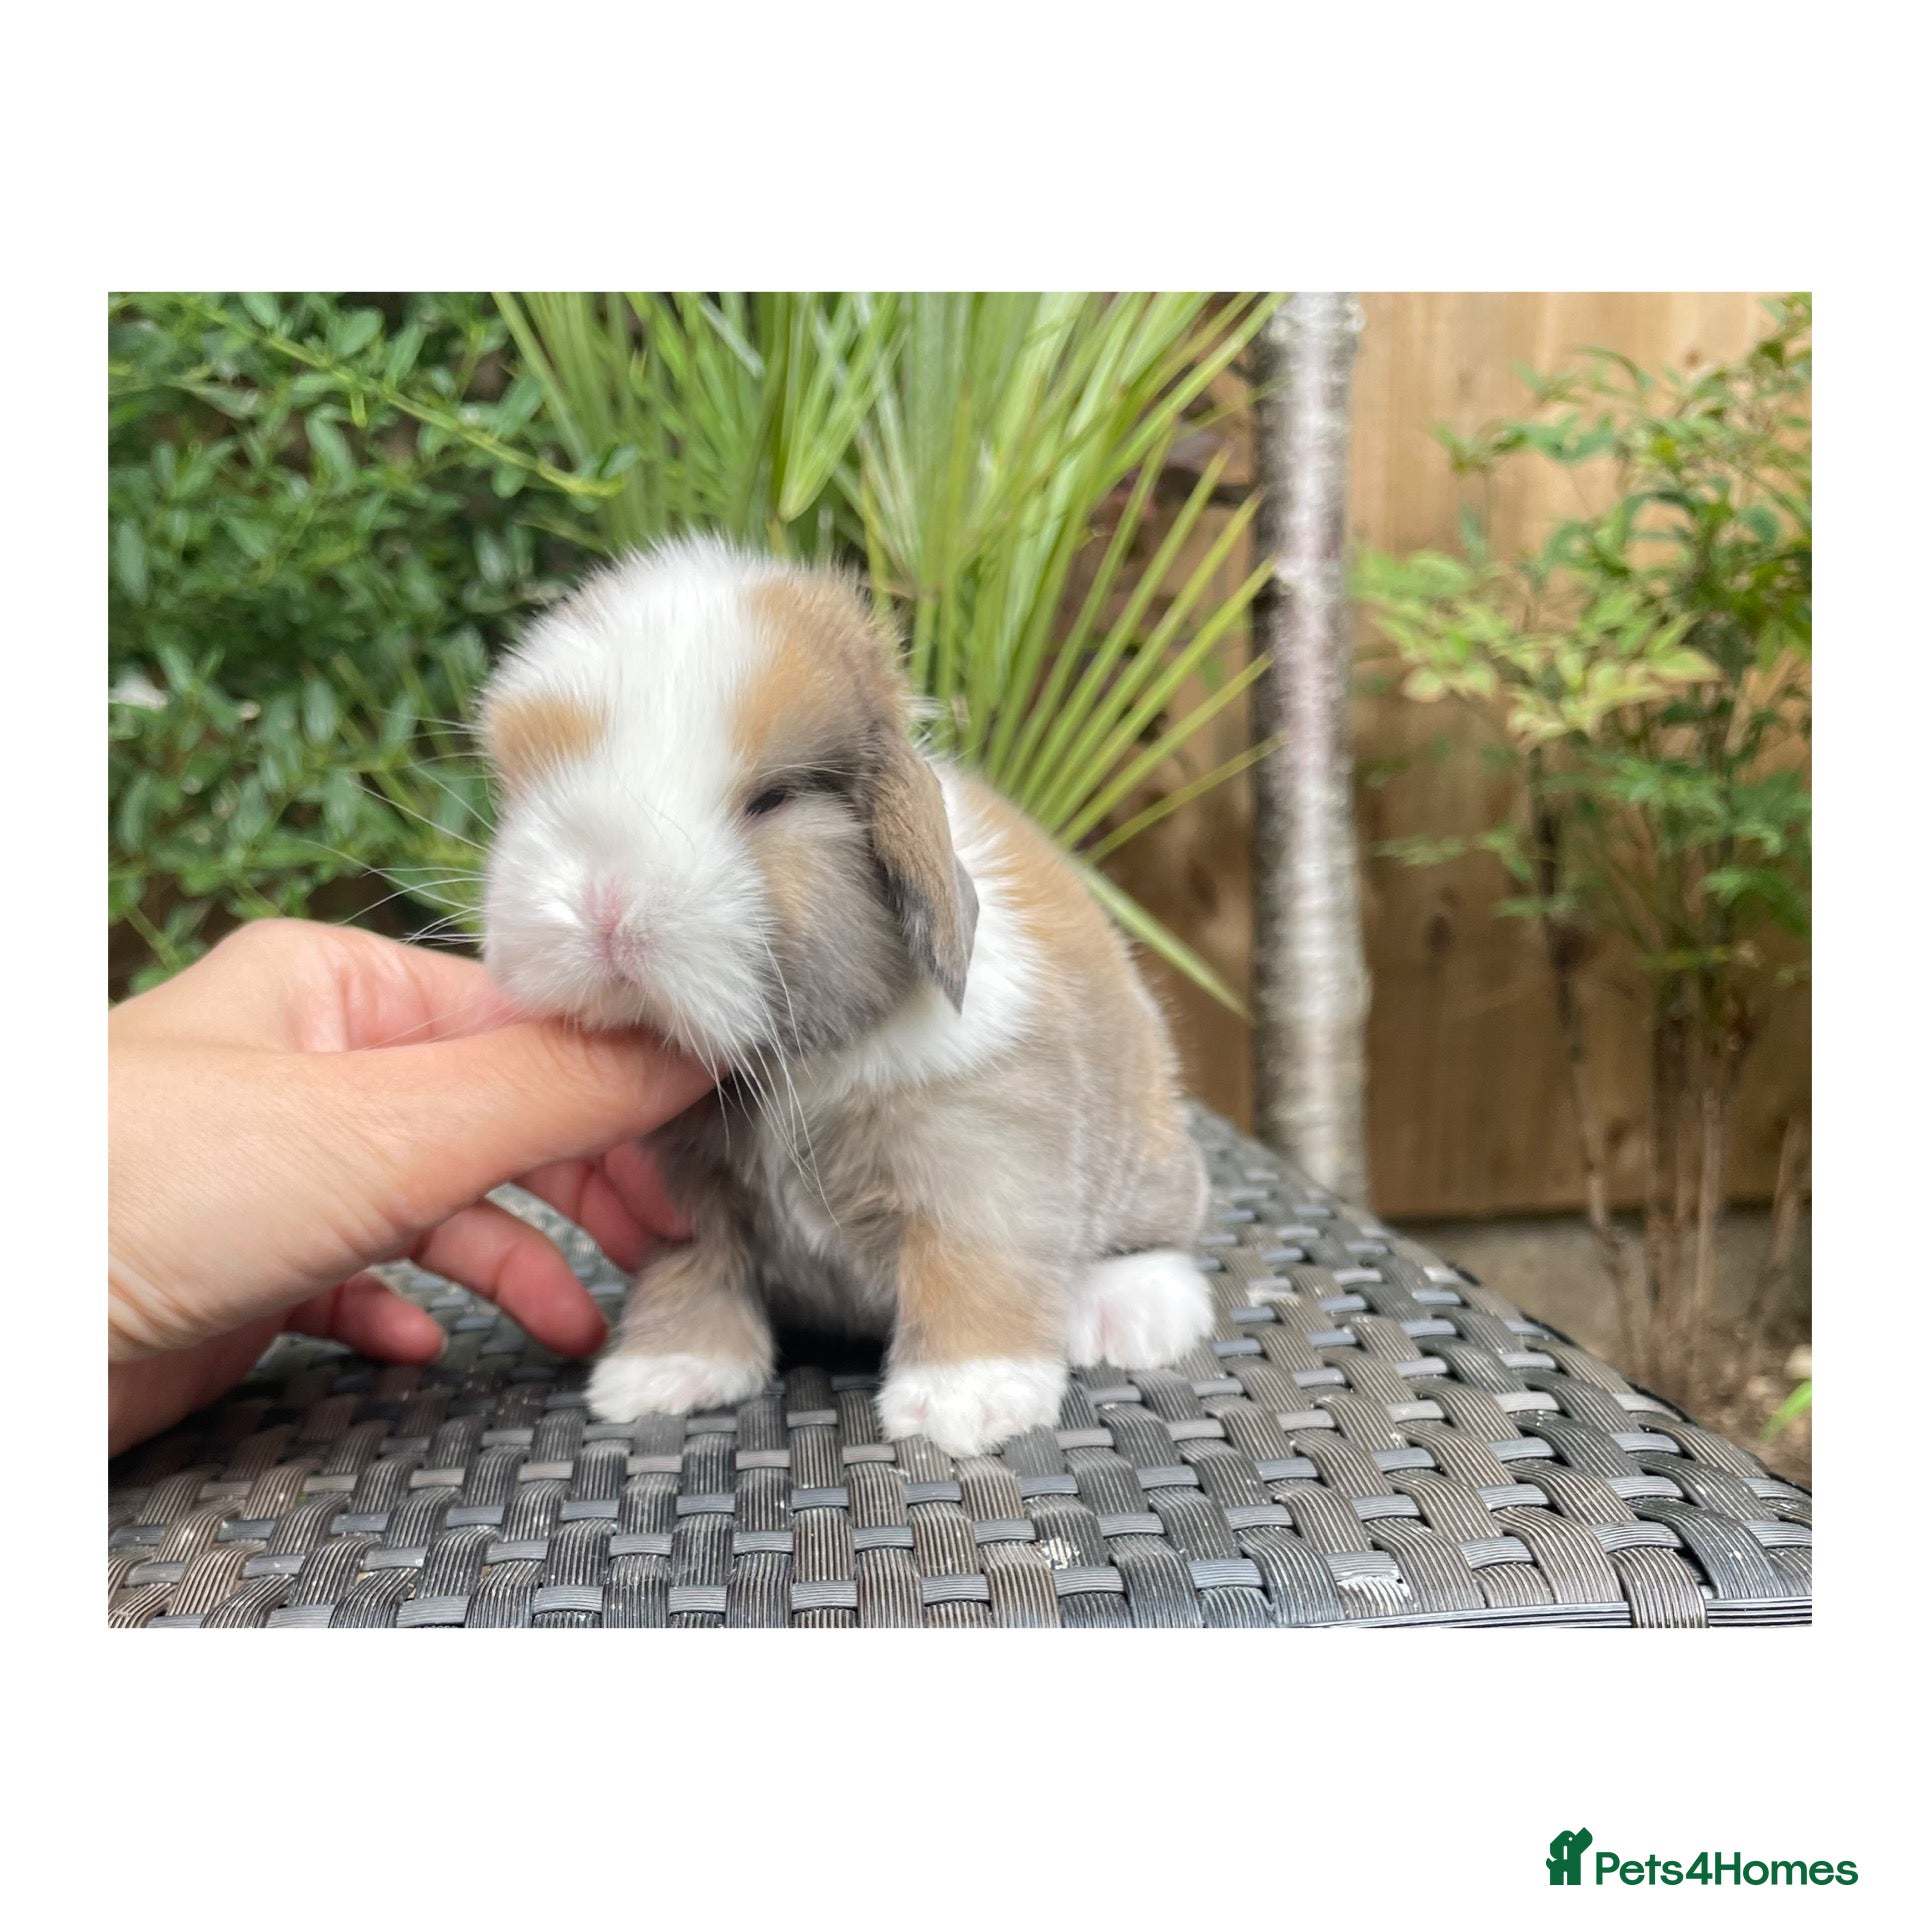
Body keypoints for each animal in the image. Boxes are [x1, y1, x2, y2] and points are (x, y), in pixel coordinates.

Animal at [480, 536, 1213, 1456]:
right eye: (529, 788)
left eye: (775, 799)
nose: (603, 905)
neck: (793, 1068)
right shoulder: (681, 1201)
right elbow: (692, 1273)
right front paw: (663, 1375)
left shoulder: (984, 1160)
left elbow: (973, 1267)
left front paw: (966, 1404)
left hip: (1149, 1160)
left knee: (1158, 1244)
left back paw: (1132, 1315)